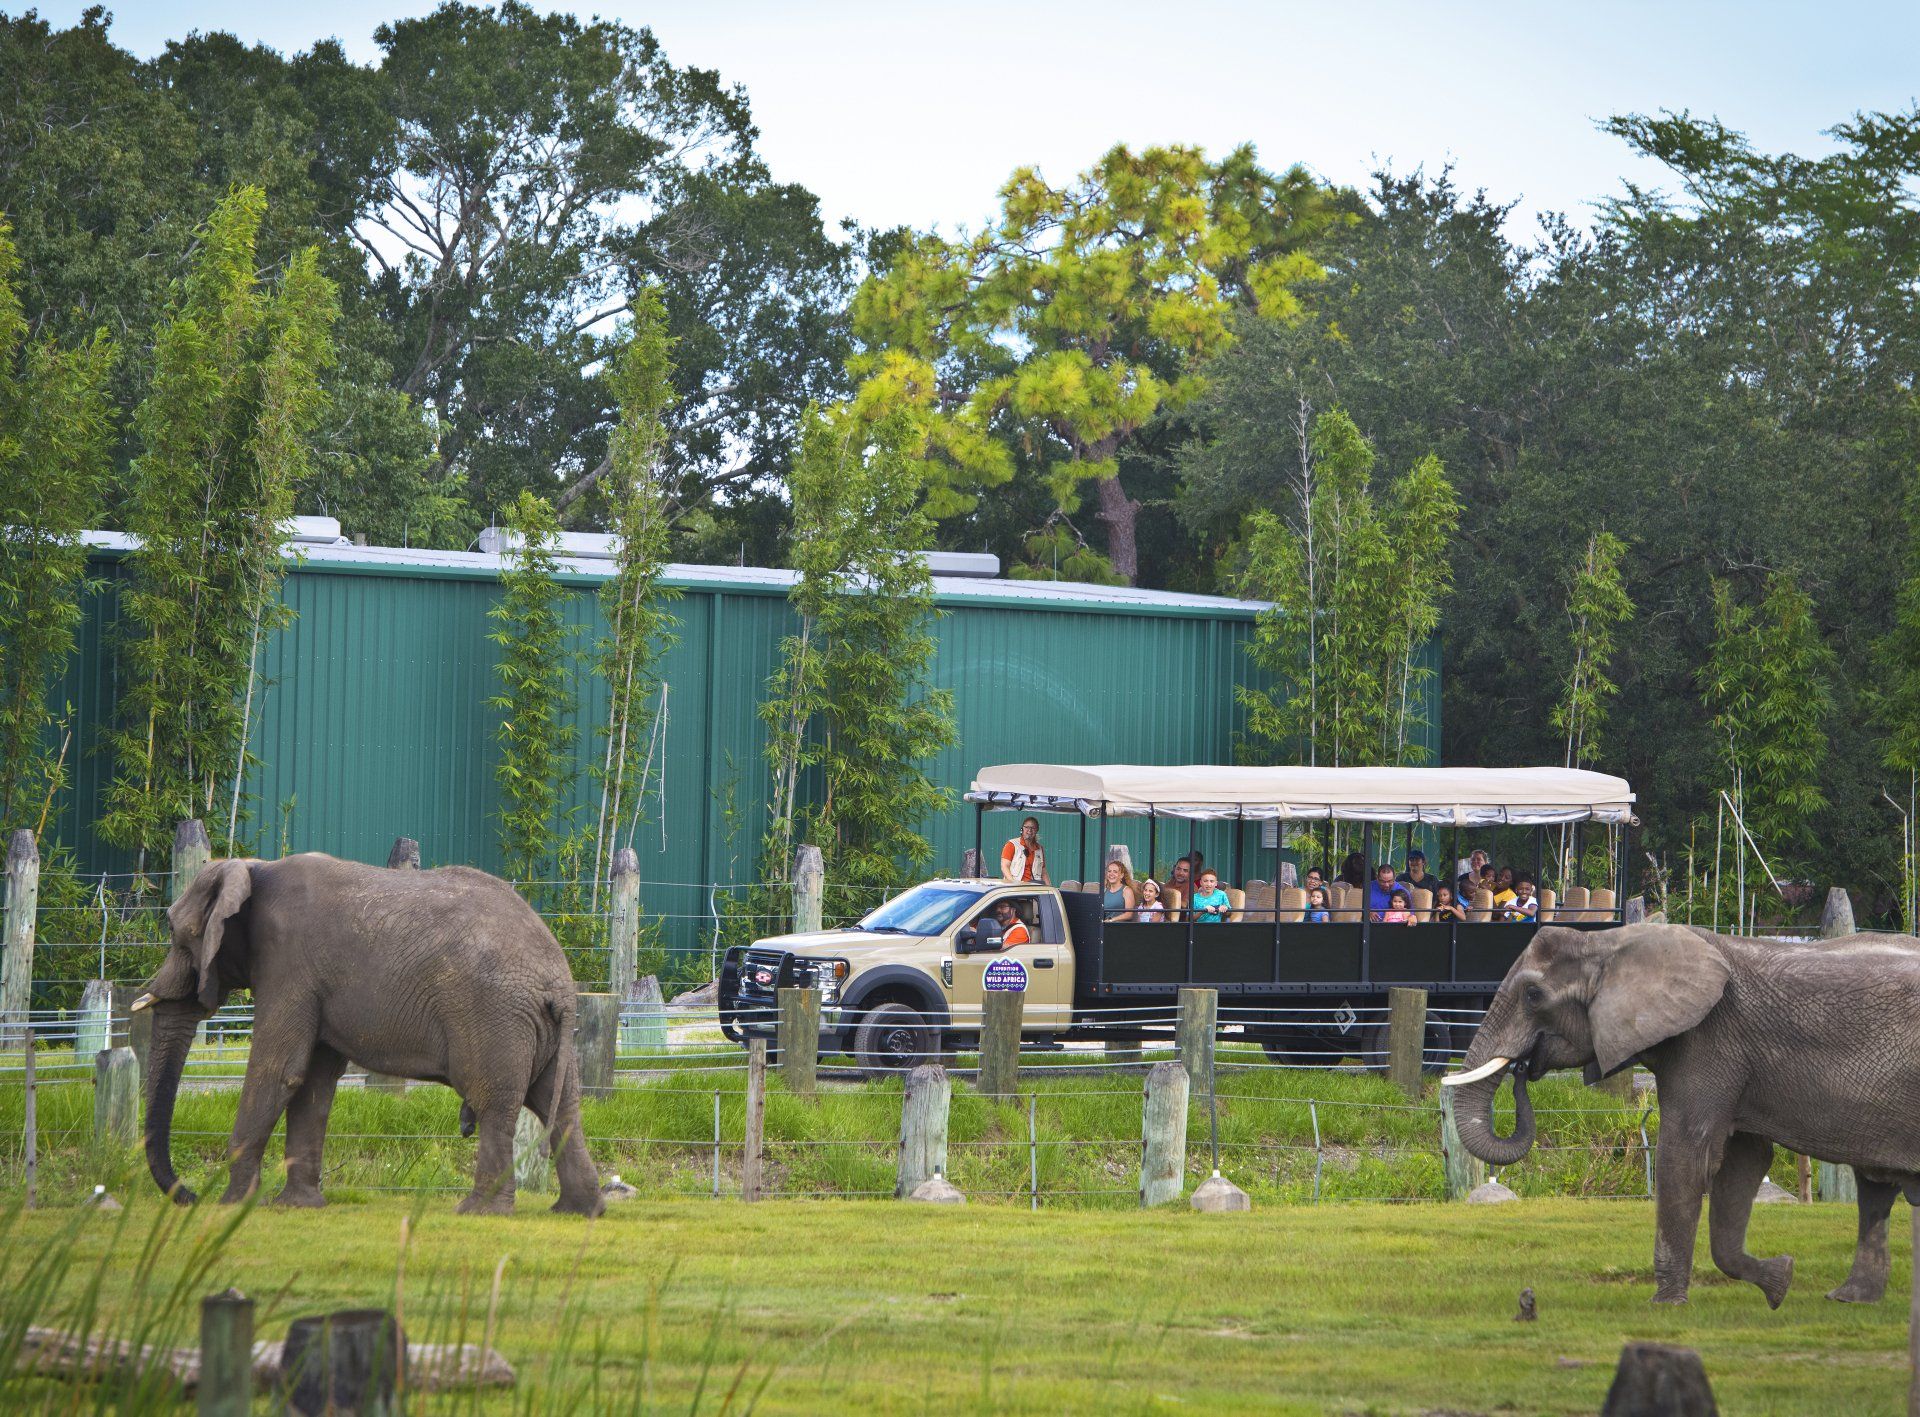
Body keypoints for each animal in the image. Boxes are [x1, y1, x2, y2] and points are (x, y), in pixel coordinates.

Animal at [133, 853, 604, 1216]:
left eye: (175, 933)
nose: (190, 1196)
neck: (253, 868)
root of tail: (559, 982)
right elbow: (313, 1083)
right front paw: (297, 1206)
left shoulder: (288, 965)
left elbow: (278, 1070)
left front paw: (233, 1206)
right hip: (540, 1028)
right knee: (561, 1105)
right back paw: (580, 1212)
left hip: (494, 1015)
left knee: (495, 1103)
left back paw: (479, 1212)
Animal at [1444, 922, 1920, 1307]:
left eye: (1533, 995)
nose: (1523, 1068)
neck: (1608, 942)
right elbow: (1742, 1162)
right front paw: (1780, 1280)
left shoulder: (1711, 1040)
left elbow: (1686, 1156)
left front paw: (1665, 1304)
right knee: (1874, 1187)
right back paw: (1849, 1299)